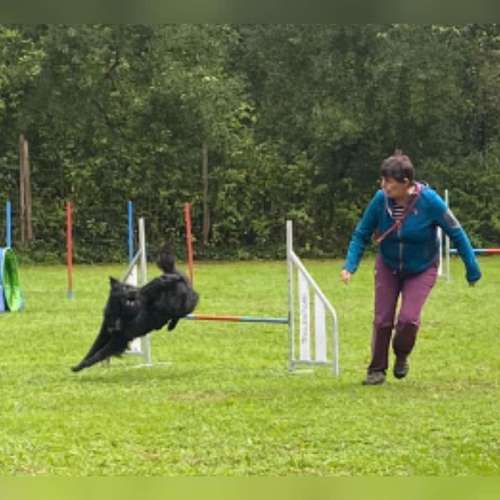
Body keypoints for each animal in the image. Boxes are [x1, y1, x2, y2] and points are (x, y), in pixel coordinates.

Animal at [71, 244, 199, 374]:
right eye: (126, 288)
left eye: (130, 286)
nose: (138, 290)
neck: (120, 311)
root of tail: (180, 277)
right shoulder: (105, 332)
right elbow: (92, 350)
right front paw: (79, 365)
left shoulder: (120, 338)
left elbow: (100, 353)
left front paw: (84, 365)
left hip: (179, 306)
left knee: (185, 310)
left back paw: (170, 325)